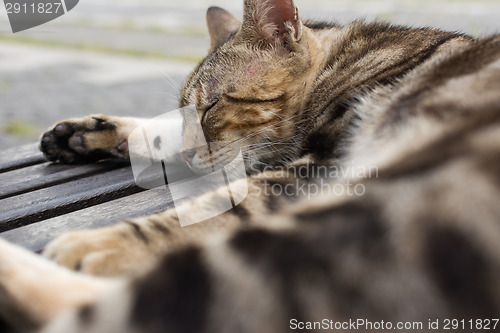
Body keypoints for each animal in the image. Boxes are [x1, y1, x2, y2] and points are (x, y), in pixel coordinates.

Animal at [0, 0, 500, 330]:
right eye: (190, 112)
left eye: (211, 107)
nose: (189, 153)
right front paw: (88, 133)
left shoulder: (316, 165)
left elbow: (216, 208)